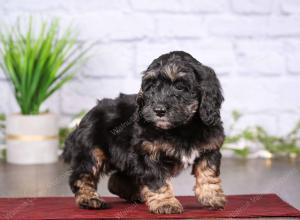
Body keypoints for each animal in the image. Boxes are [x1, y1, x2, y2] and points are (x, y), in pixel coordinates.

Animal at [63, 51, 227, 213]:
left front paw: (212, 197)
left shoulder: (210, 148)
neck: (181, 128)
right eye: (151, 86)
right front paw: (165, 203)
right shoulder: (148, 153)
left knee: (116, 180)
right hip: (92, 151)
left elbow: (208, 173)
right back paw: (89, 199)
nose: (159, 110)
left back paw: (137, 195)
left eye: (180, 86)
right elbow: (157, 179)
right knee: (82, 176)